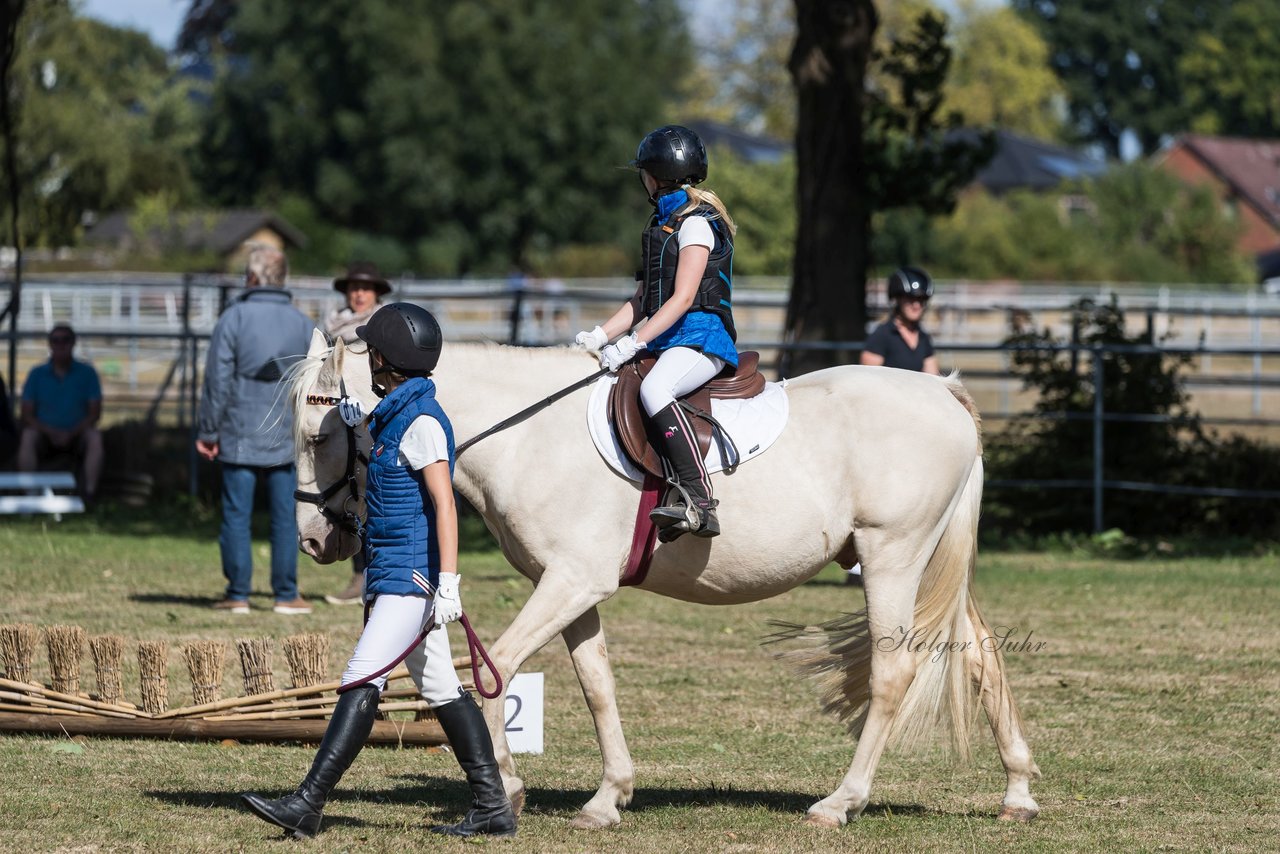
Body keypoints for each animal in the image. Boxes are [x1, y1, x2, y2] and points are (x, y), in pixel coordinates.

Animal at [290, 332, 1039, 829]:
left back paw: (838, 803)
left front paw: (506, 789)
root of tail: (942, 390)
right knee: (980, 654)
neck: (527, 434)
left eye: (319, 433)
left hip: (893, 559)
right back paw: (1017, 793)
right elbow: (597, 685)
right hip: (925, 562)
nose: (314, 540)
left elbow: (496, 669)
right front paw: (606, 799)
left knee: (894, 672)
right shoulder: (575, 586)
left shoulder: (570, 581)